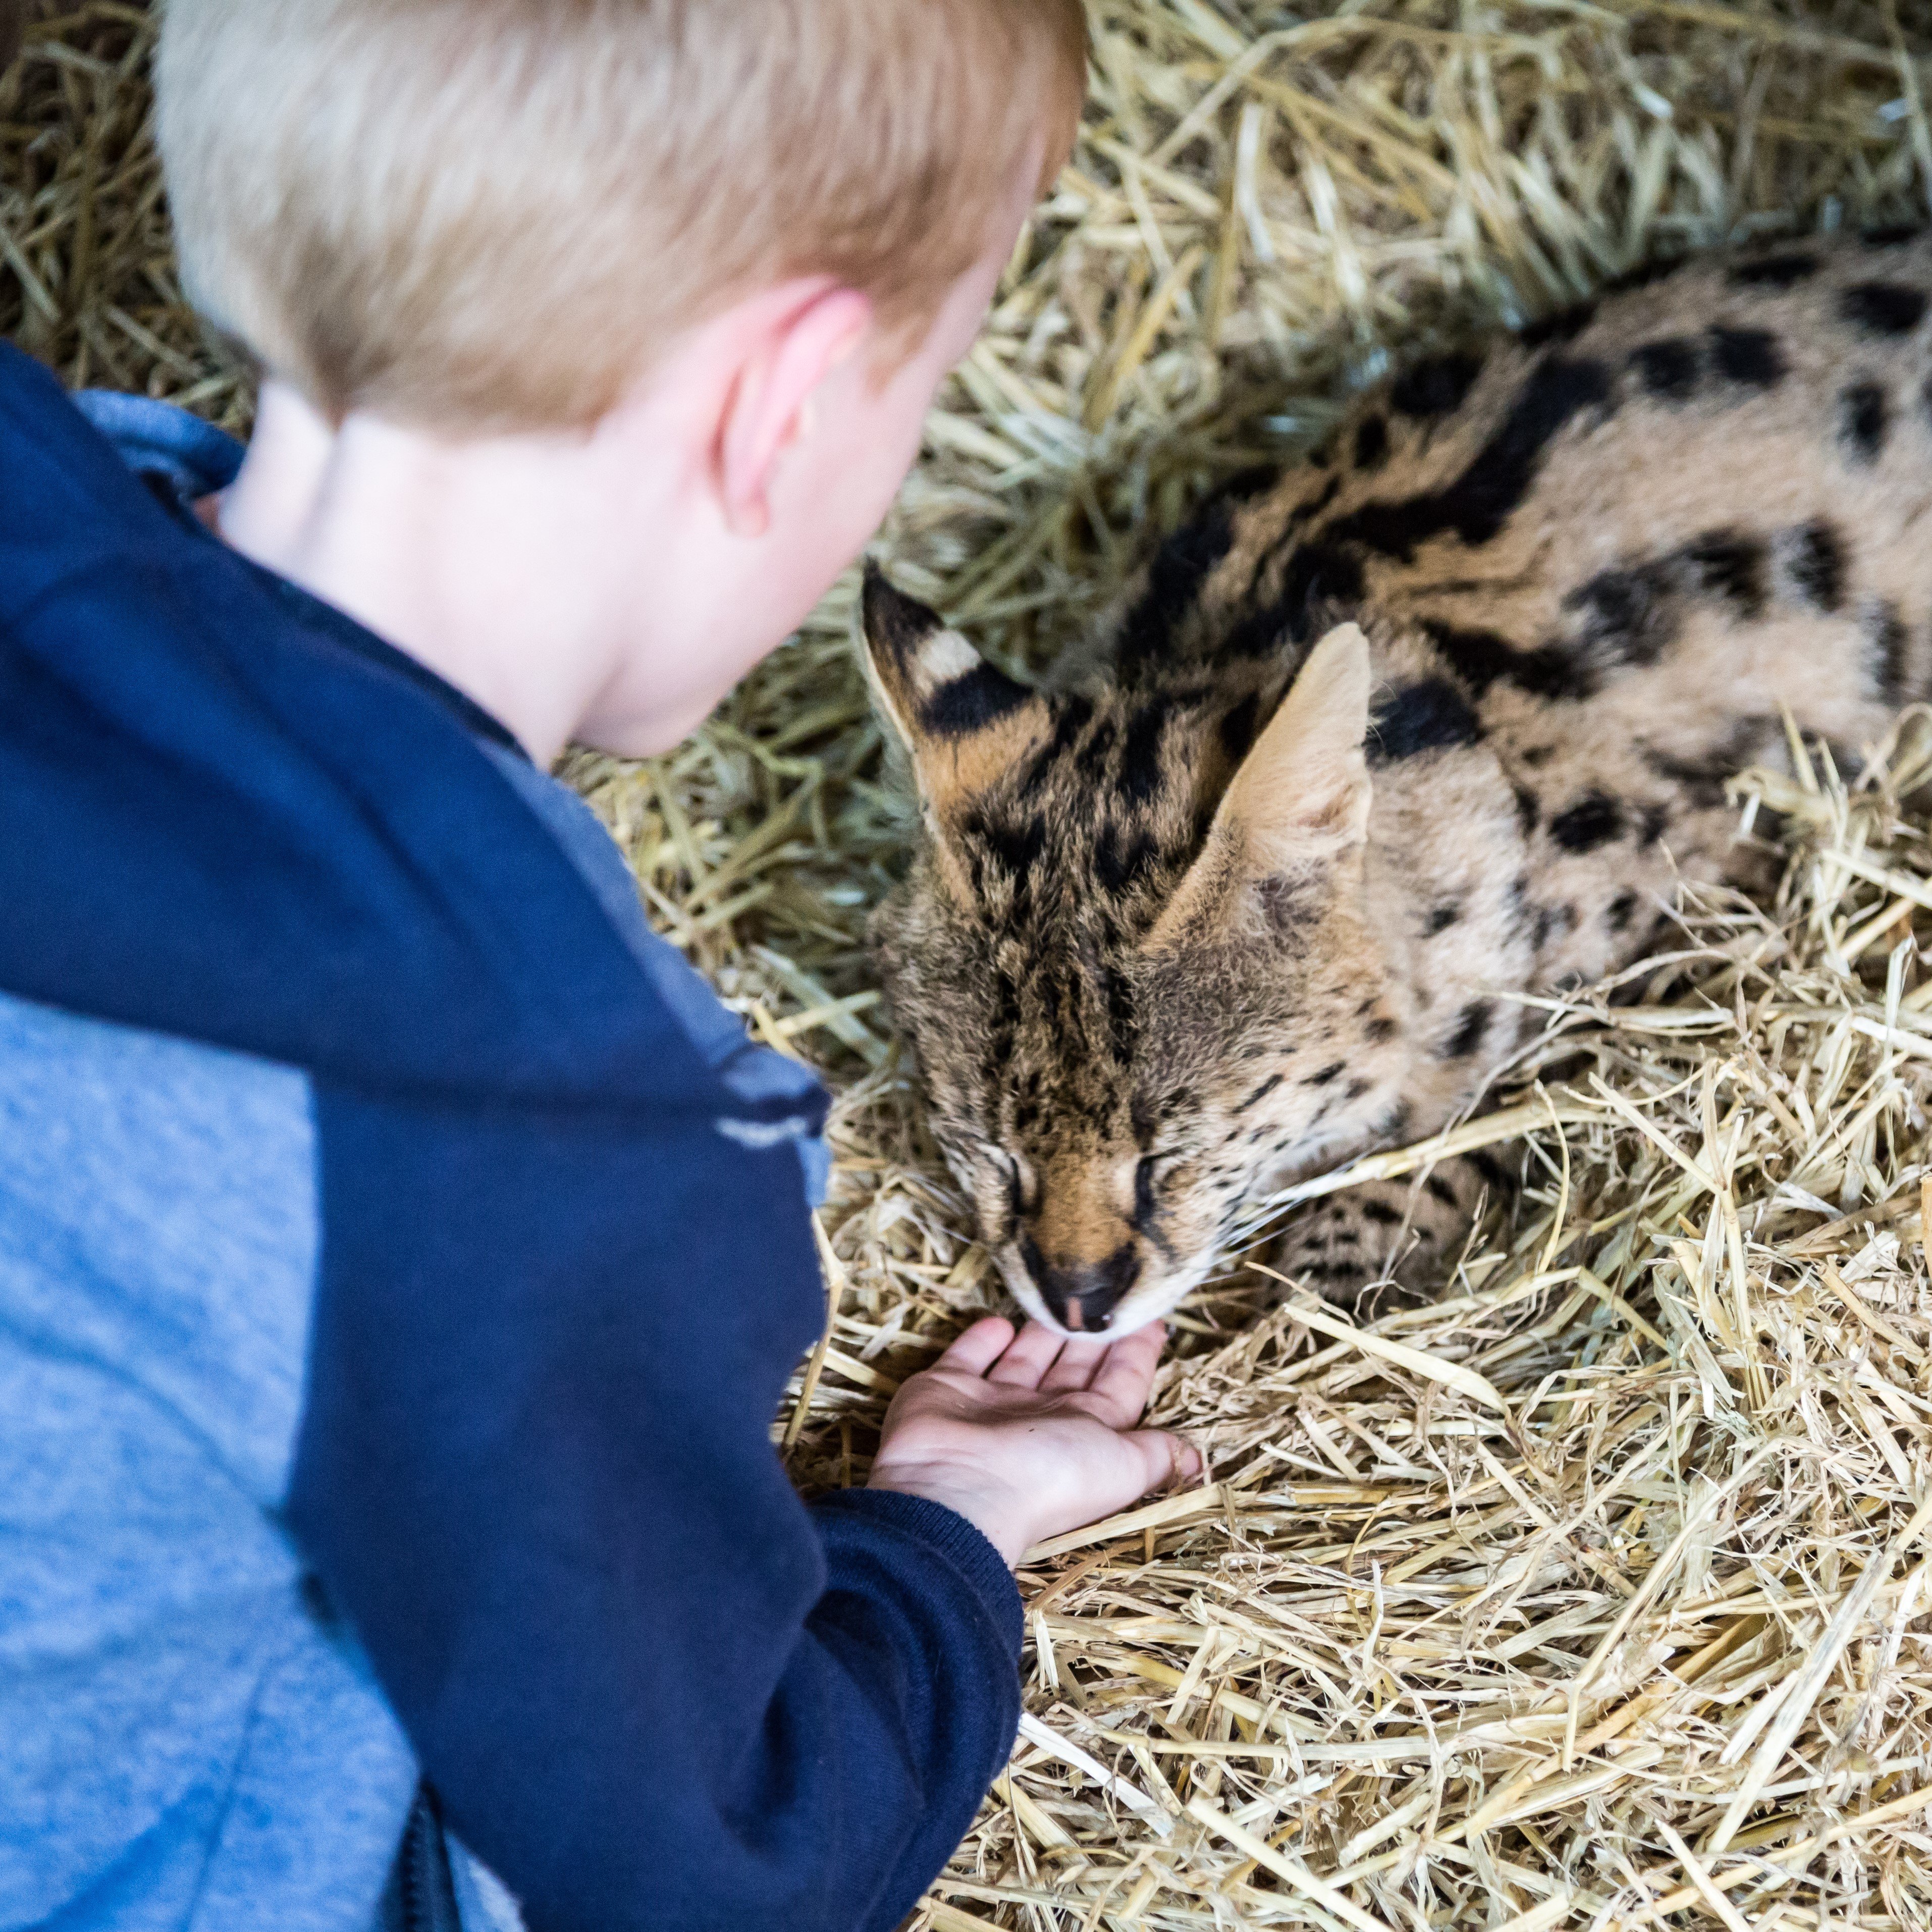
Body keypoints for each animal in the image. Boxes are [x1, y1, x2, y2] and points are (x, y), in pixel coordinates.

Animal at [865, 226, 1932, 1336]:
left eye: (1168, 1158)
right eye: (994, 1151)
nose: (1076, 1301)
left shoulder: (1711, 876)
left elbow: (1496, 1092)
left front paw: (1339, 1265)